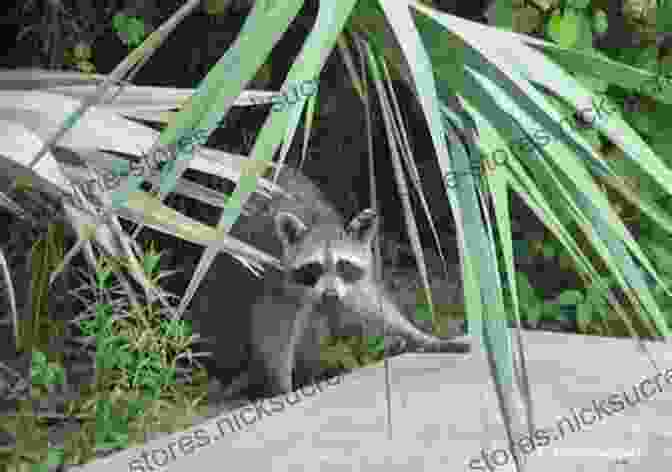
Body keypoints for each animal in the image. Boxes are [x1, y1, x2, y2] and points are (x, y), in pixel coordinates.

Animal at [243, 168, 472, 396]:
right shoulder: (273, 271)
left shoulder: (353, 278)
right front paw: (281, 385)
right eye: (314, 267)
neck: (319, 222)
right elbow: (272, 327)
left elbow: (373, 303)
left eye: (342, 265)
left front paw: (420, 336)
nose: (330, 294)